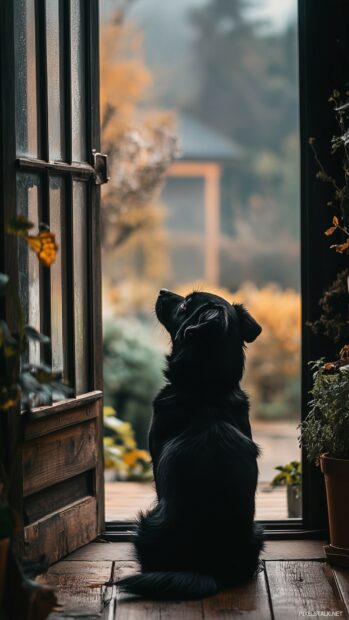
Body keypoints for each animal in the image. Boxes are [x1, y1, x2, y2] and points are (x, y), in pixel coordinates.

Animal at [118, 290, 262, 600]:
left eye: (185, 304)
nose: (162, 292)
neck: (207, 388)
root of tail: (203, 570)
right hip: (258, 531)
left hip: (144, 526)